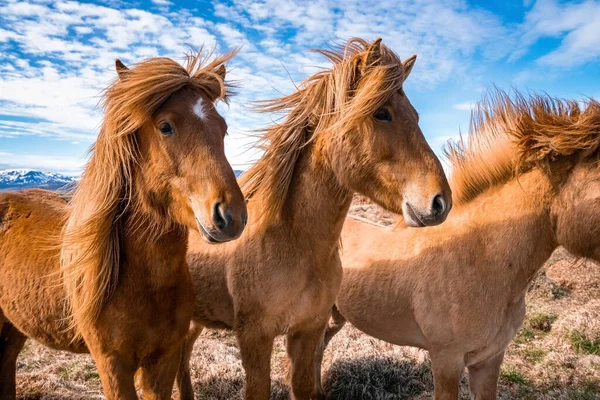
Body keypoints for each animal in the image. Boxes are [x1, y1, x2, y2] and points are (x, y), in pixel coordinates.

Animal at [0, 51, 248, 398]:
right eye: (165, 126)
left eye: (222, 128)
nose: (231, 216)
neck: (139, 281)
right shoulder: (112, 365)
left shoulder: (163, 361)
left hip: (14, 327)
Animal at [176, 38, 452, 400]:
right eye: (382, 113)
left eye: (416, 116)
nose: (440, 202)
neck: (291, 246)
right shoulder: (254, 339)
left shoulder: (308, 332)